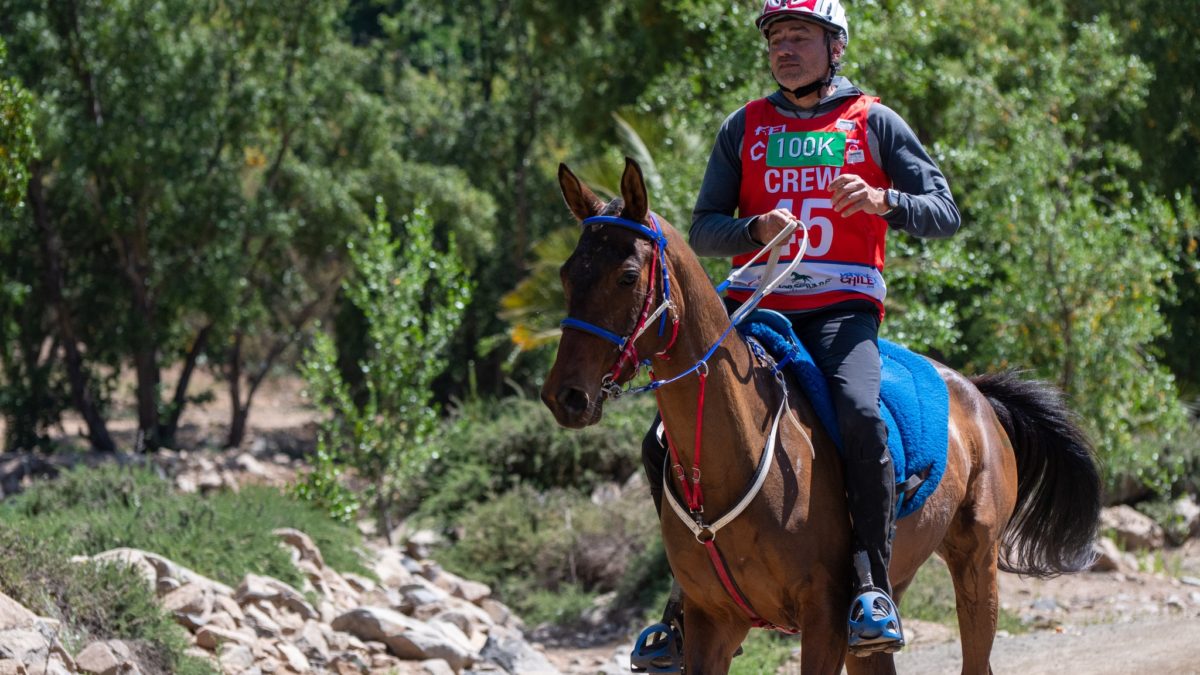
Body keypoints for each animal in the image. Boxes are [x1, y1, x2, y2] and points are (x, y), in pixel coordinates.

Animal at [540, 158, 1099, 672]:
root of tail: (976, 393)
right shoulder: (711, 622)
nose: (564, 395)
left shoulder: (823, 619)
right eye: (567, 274)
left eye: (627, 276)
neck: (734, 456)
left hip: (975, 568)